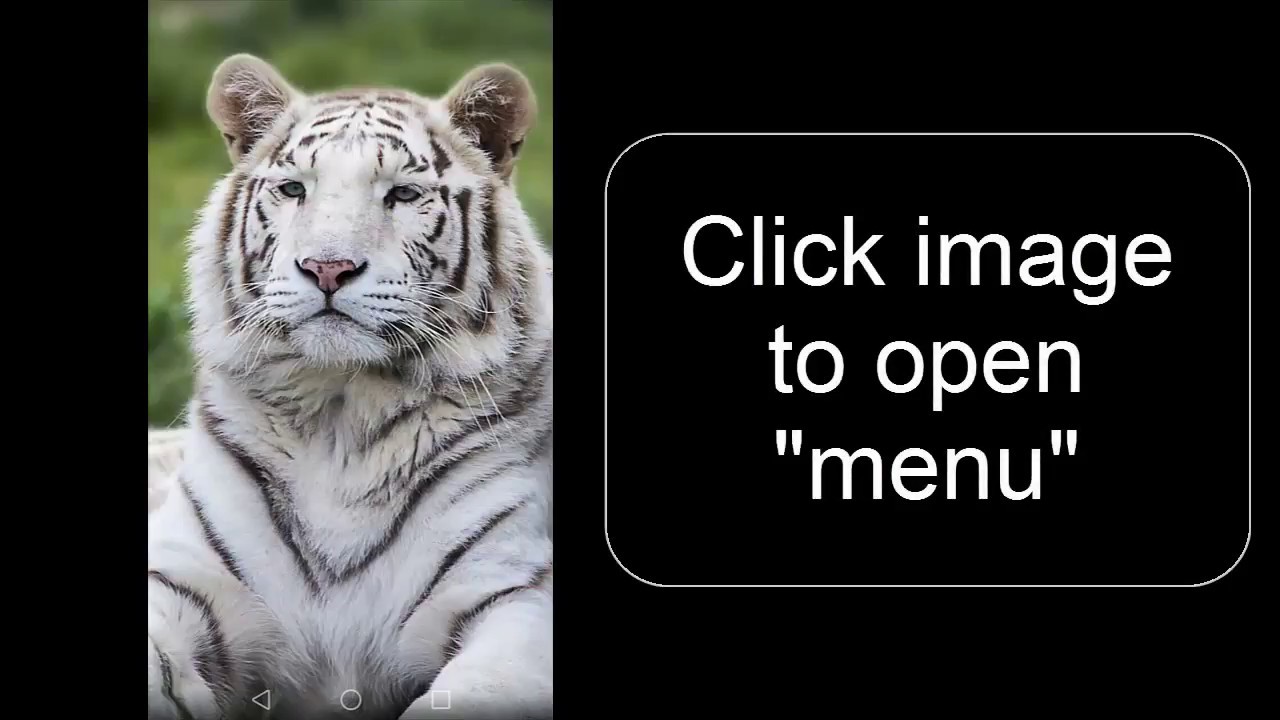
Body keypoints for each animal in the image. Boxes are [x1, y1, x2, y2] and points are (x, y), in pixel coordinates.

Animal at [147, 53, 553, 720]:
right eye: (294, 189)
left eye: (402, 194)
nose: (327, 268)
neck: (342, 414)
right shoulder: (184, 575)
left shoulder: (511, 590)